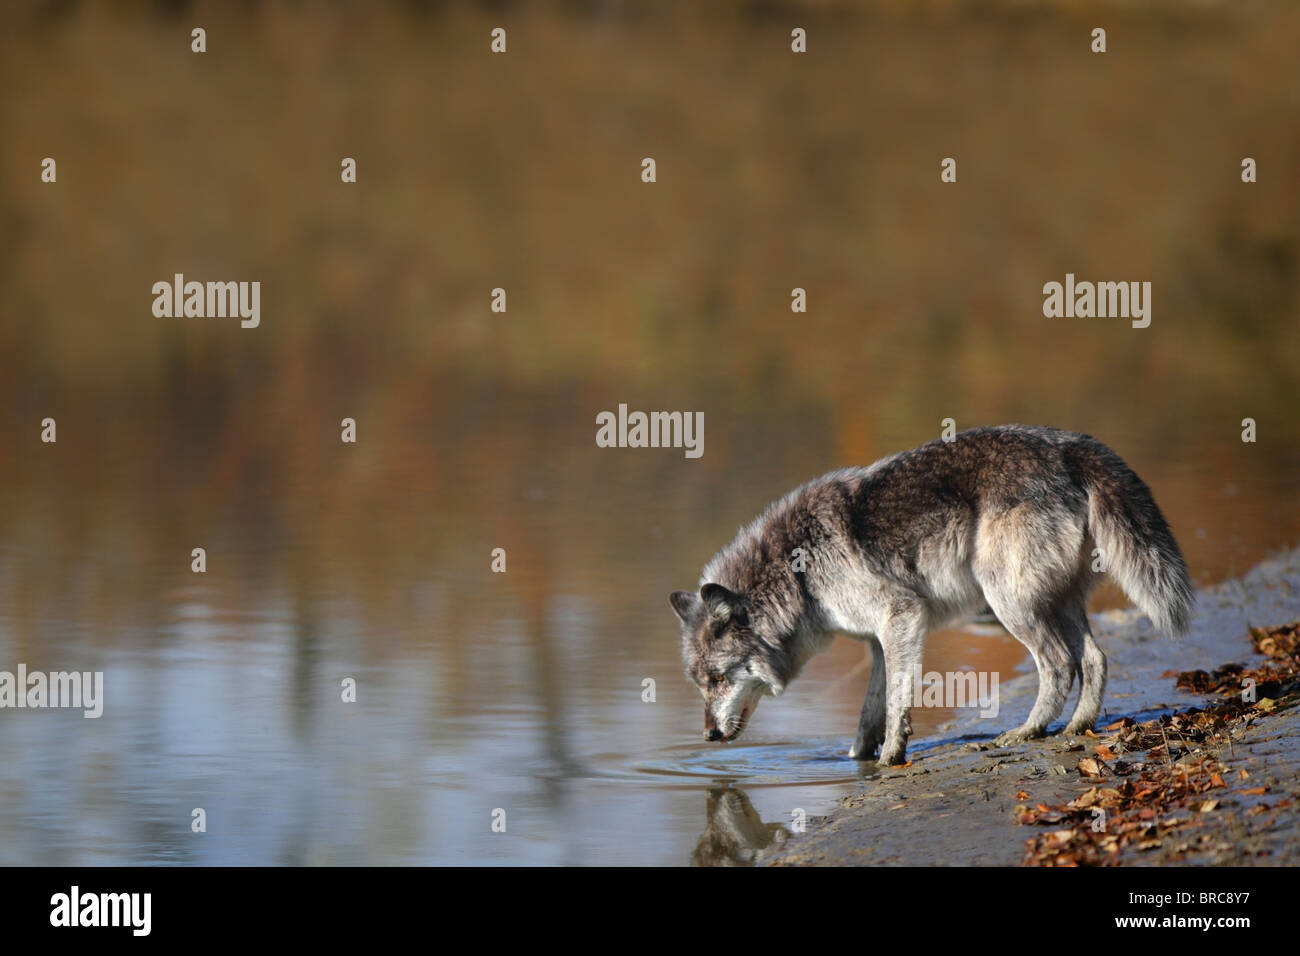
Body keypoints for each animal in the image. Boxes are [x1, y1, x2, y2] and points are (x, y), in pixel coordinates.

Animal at [676, 424, 1190, 764]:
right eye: (700, 684)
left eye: (718, 679)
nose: (707, 737)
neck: (796, 570)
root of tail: (1070, 446)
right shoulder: (878, 642)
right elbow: (870, 712)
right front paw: (855, 760)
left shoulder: (902, 616)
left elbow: (897, 701)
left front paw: (890, 758)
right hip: (1057, 602)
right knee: (1095, 659)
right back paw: (1077, 727)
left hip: (1008, 602)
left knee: (1060, 663)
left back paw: (1025, 732)